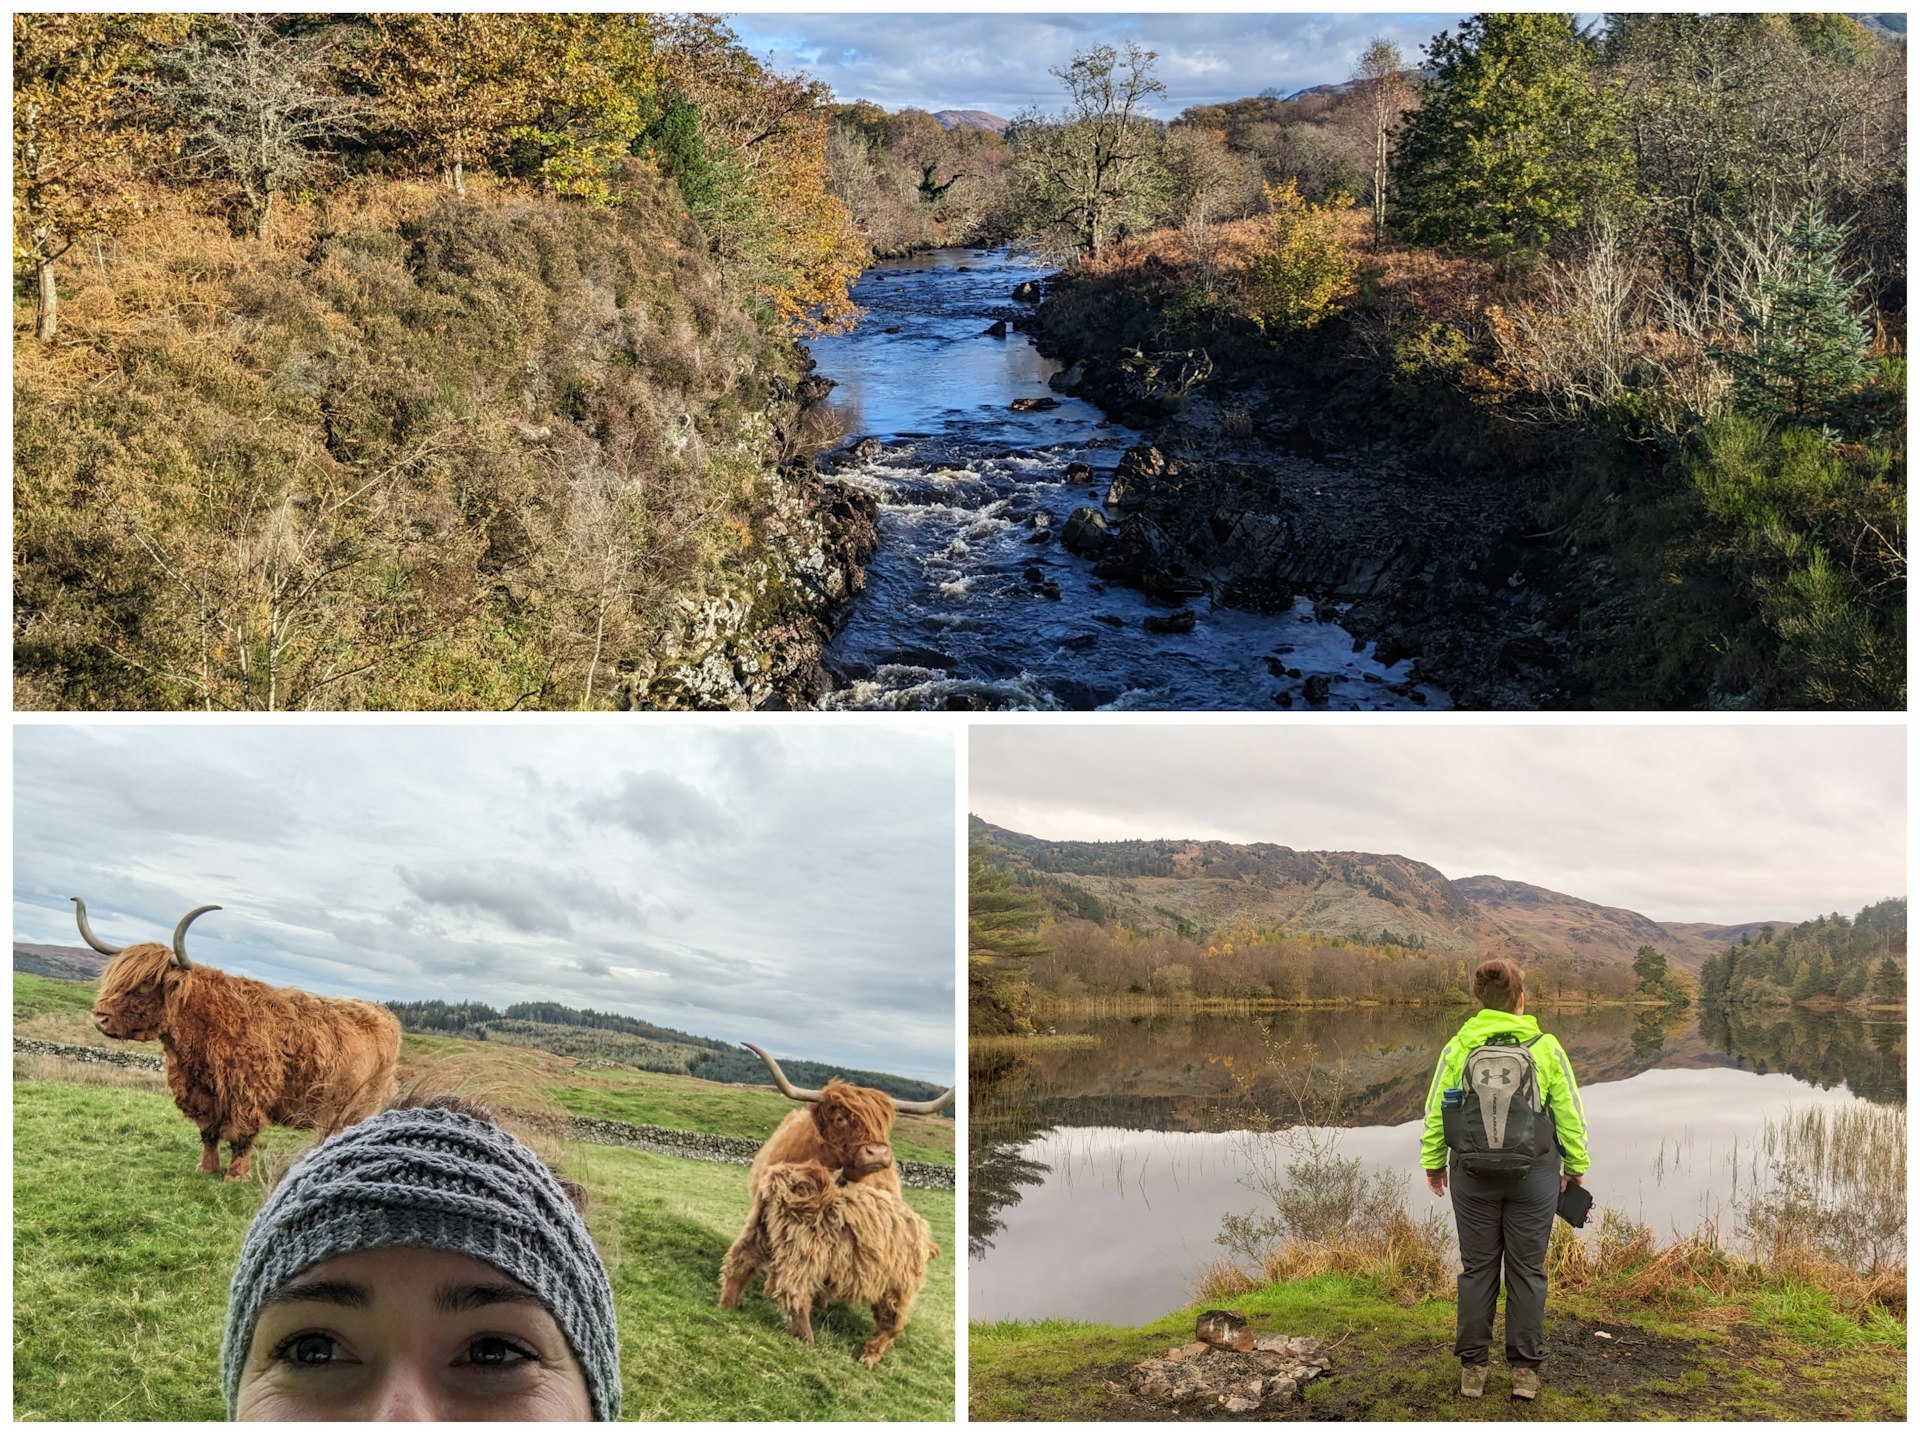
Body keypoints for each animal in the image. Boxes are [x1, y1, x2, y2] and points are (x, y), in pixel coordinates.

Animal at [76, 899, 399, 1175]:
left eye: (145, 984)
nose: (99, 1017)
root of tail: (384, 1014)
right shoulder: (202, 1096)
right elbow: (208, 1134)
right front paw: (206, 1168)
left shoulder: (249, 1093)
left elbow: (242, 1137)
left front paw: (235, 1174)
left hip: (363, 1105)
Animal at [760, 1160, 948, 1367]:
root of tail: (925, 1242)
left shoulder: (803, 1256)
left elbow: (795, 1296)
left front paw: (806, 1337)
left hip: (898, 1288)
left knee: (891, 1323)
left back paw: (869, 1357)